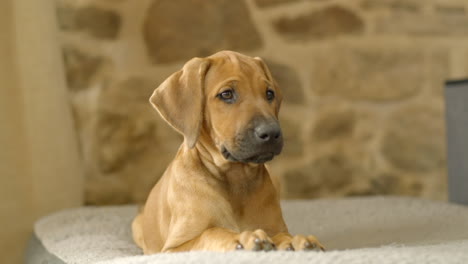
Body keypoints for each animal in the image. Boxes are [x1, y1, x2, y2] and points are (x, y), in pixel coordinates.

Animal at [130, 50, 324, 254]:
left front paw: (295, 240)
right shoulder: (174, 248)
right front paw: (244, 237)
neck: (235, 180)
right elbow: (212, 232)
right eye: (226, 94)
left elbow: (281, 234)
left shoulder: (274, 225)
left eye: (269, 93)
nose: (271, 133)